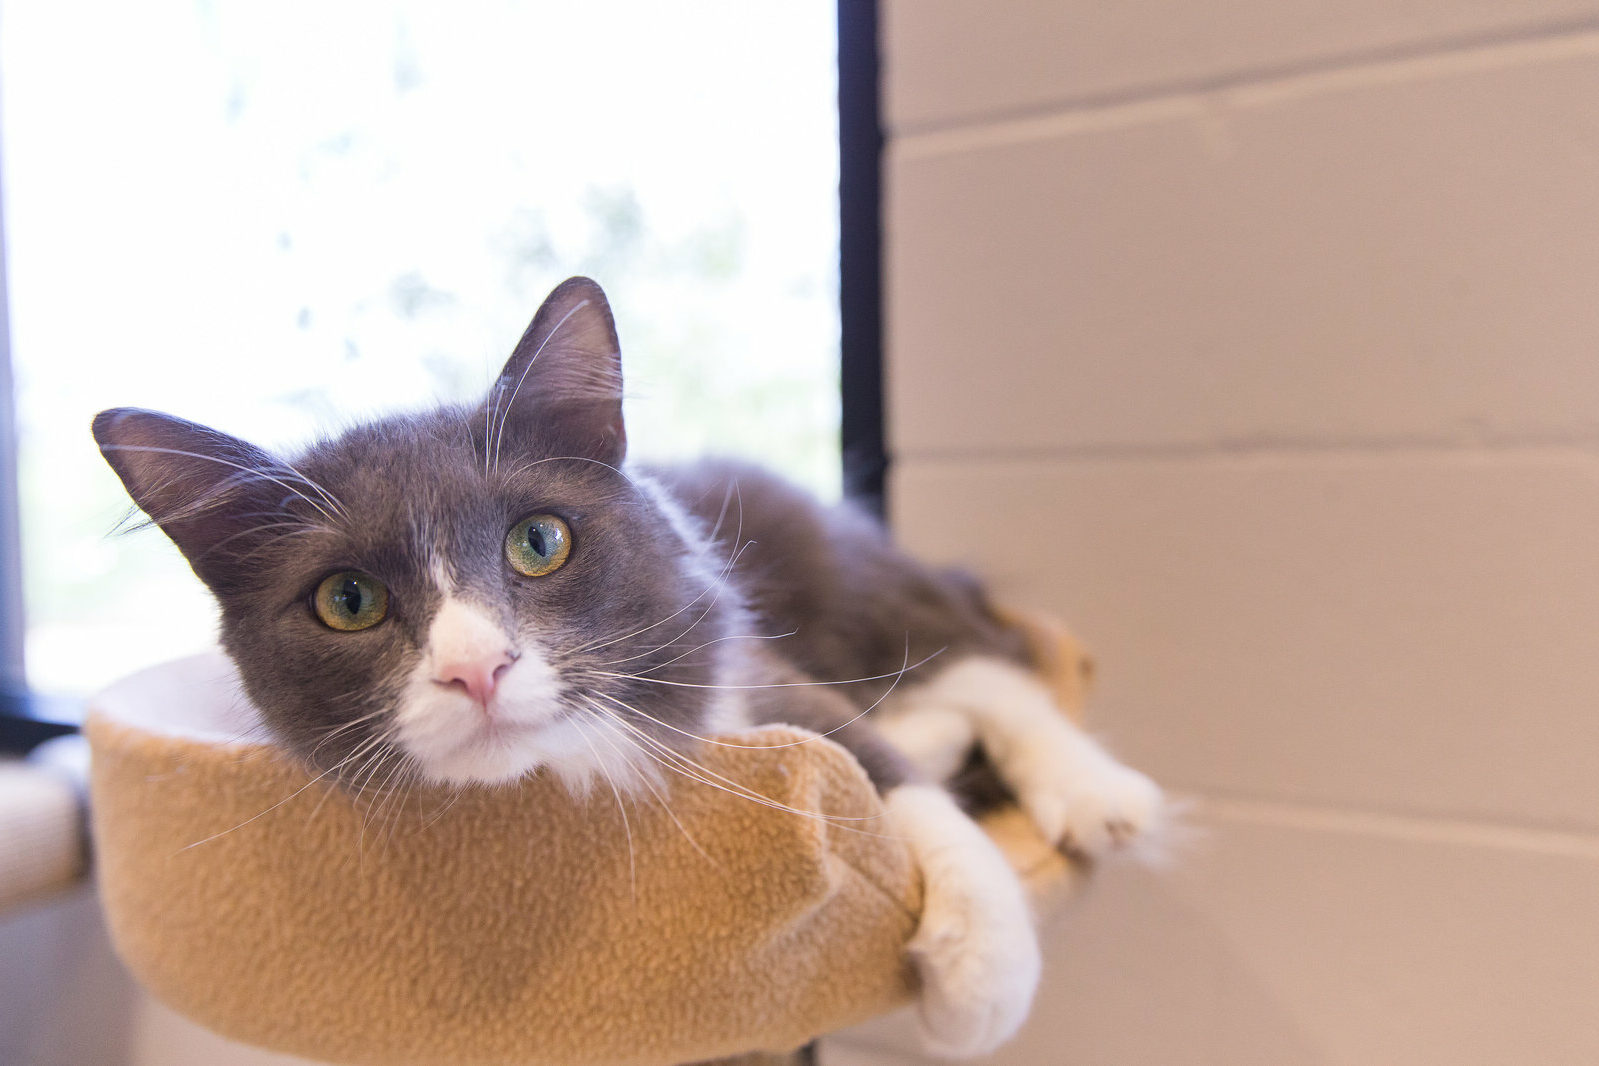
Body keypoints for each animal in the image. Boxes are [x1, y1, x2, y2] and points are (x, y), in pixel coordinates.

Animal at [90, 278, 1164, 1061]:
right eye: (346, 601)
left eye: (539, 542)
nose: (476, 669)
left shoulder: (747, 663)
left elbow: (869, 765)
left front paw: (983, 974)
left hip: (851, 588)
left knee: (986, 667)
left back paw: (1098, 795)